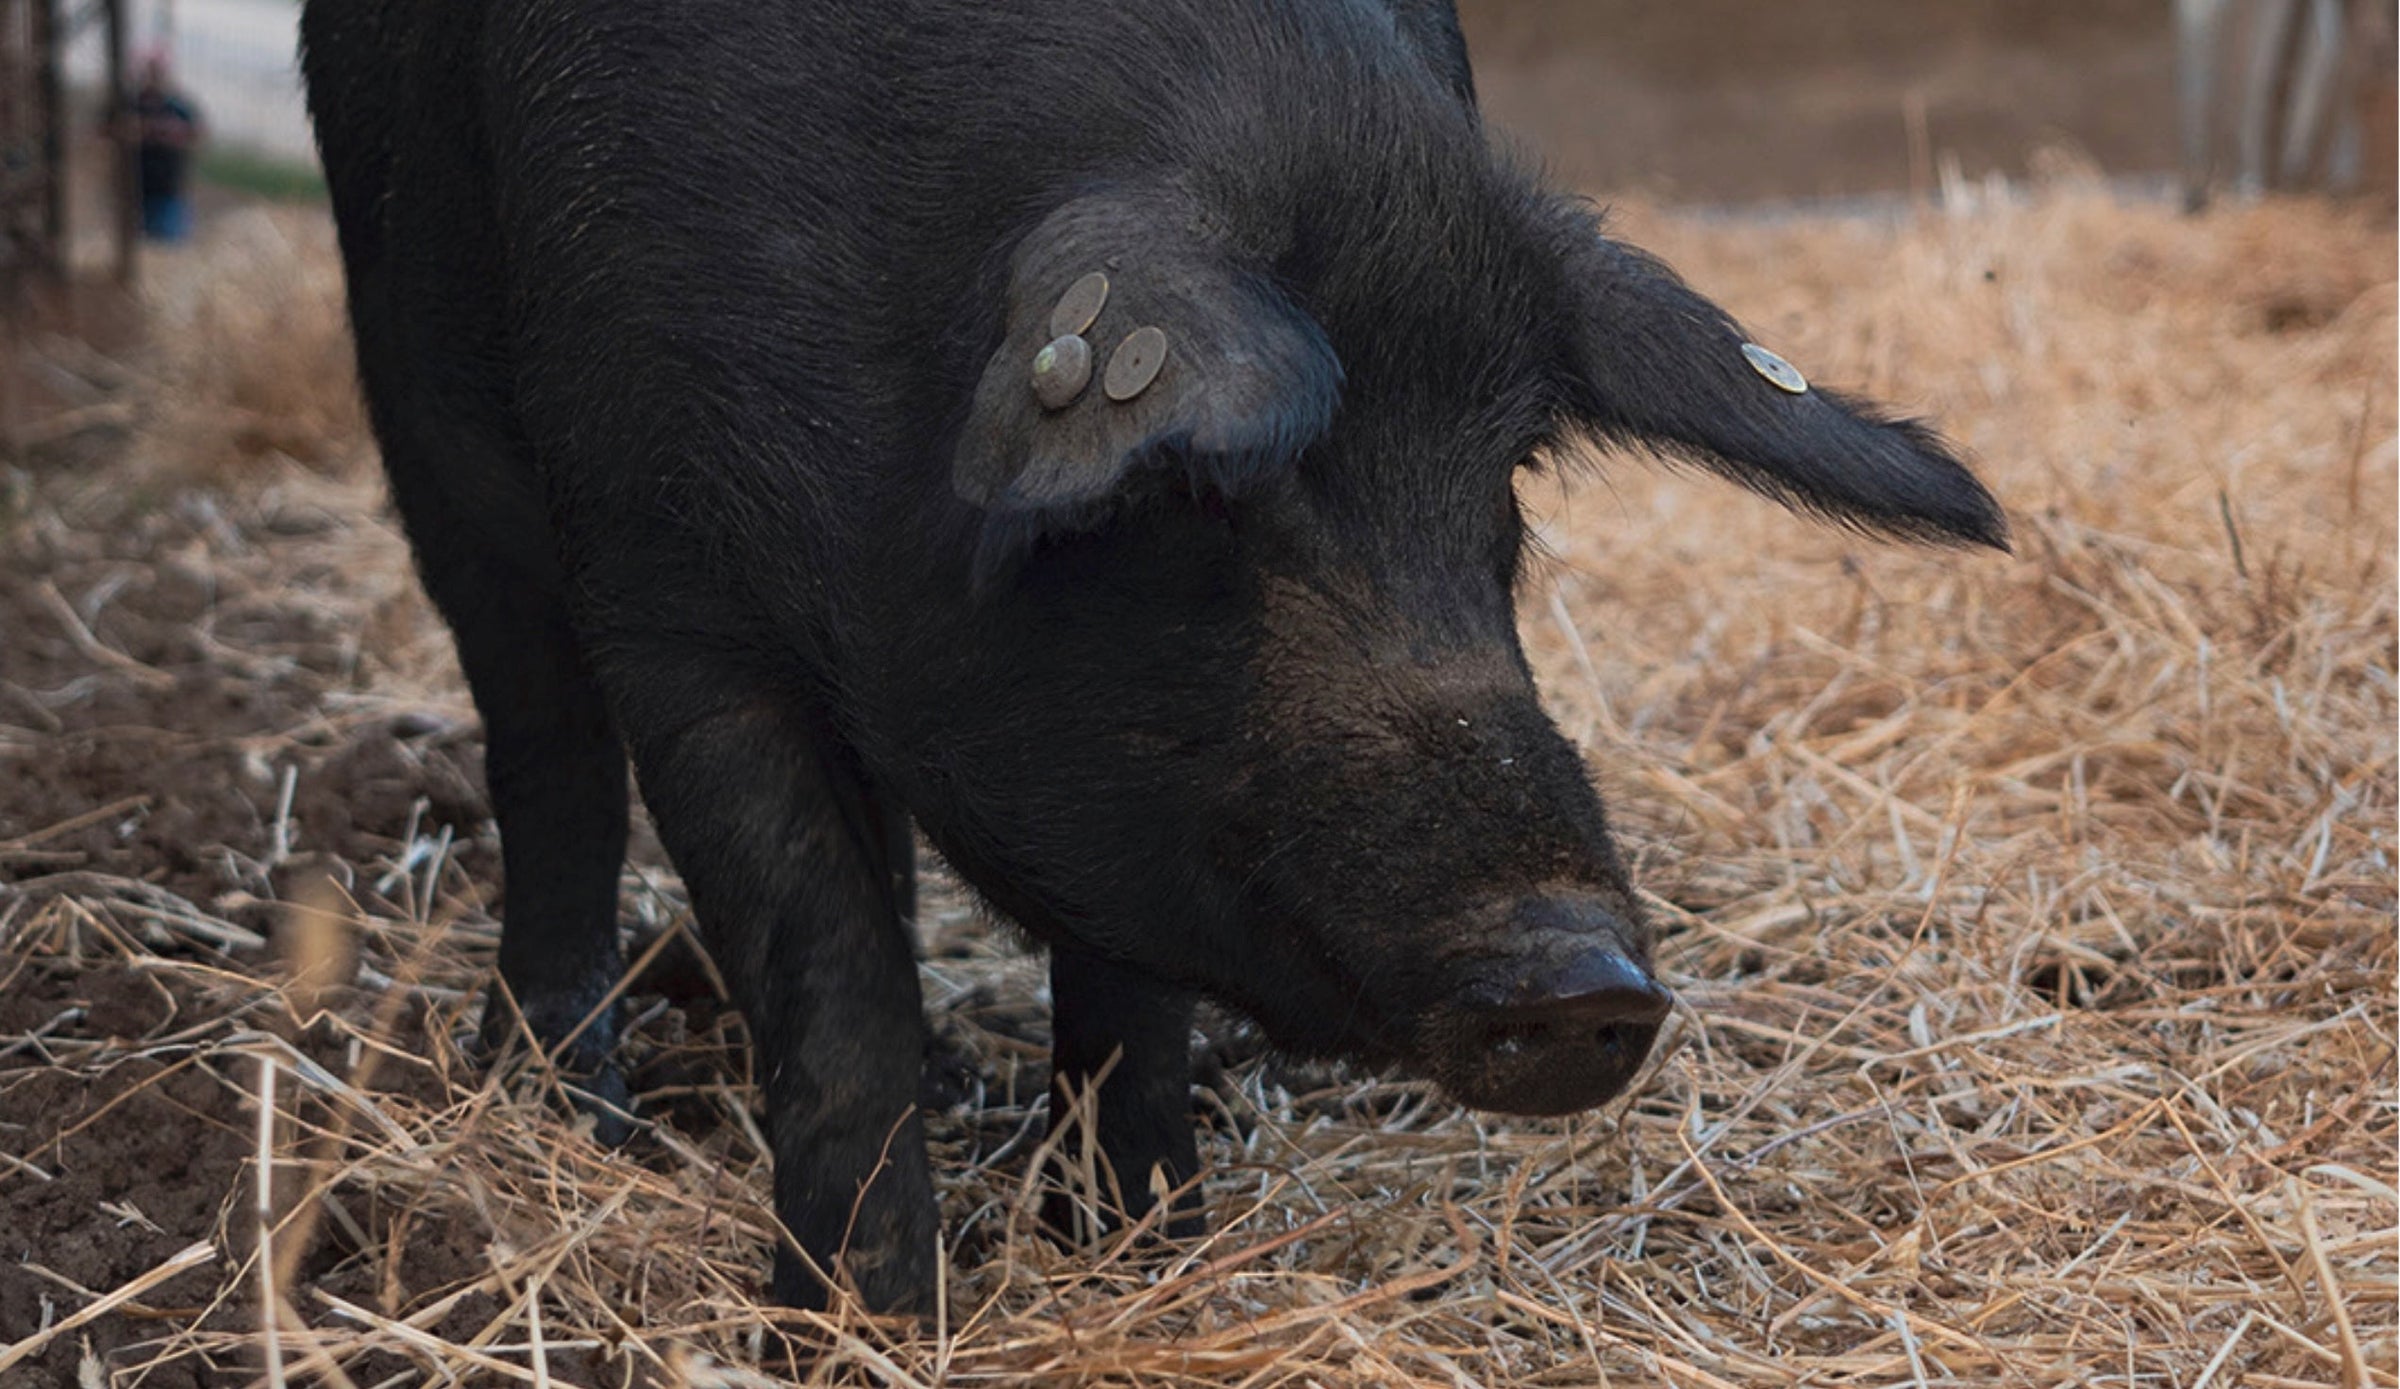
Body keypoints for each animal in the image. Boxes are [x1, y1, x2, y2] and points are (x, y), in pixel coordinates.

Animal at [300, 0, 2006, 1314]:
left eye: (1504, 491)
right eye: (1194, 499)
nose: (1585, 974)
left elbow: (1123, 979)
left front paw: (1141, 1249)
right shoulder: (663, 579)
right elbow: (825, 965)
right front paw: (860, 1325)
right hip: (421, 412)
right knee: (545, 750)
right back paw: (553, 1100)